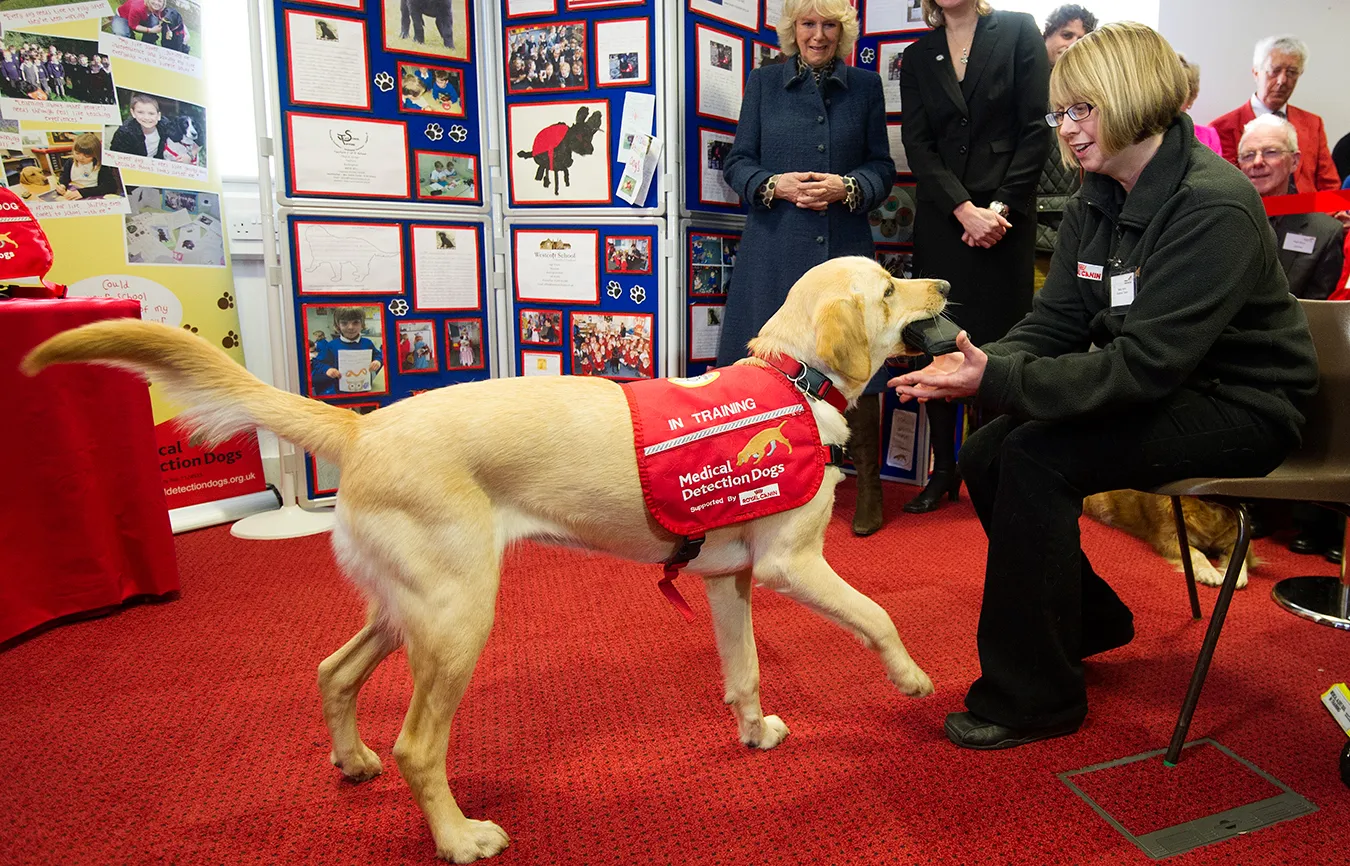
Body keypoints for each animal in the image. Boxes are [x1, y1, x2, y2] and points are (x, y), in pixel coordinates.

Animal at [23, 253, 950, 859]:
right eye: (888, 287)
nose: (945, 282)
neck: (795, 379)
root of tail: (362, 426)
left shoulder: (731, 580)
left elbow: (745, 671)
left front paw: (754, 731)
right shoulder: (795, 566)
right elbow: (878, 613)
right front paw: (911, 678)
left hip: (410, 609)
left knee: (333, 671)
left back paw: (351, 761)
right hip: (459, 615)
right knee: (417, 747)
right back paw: (459, 838)